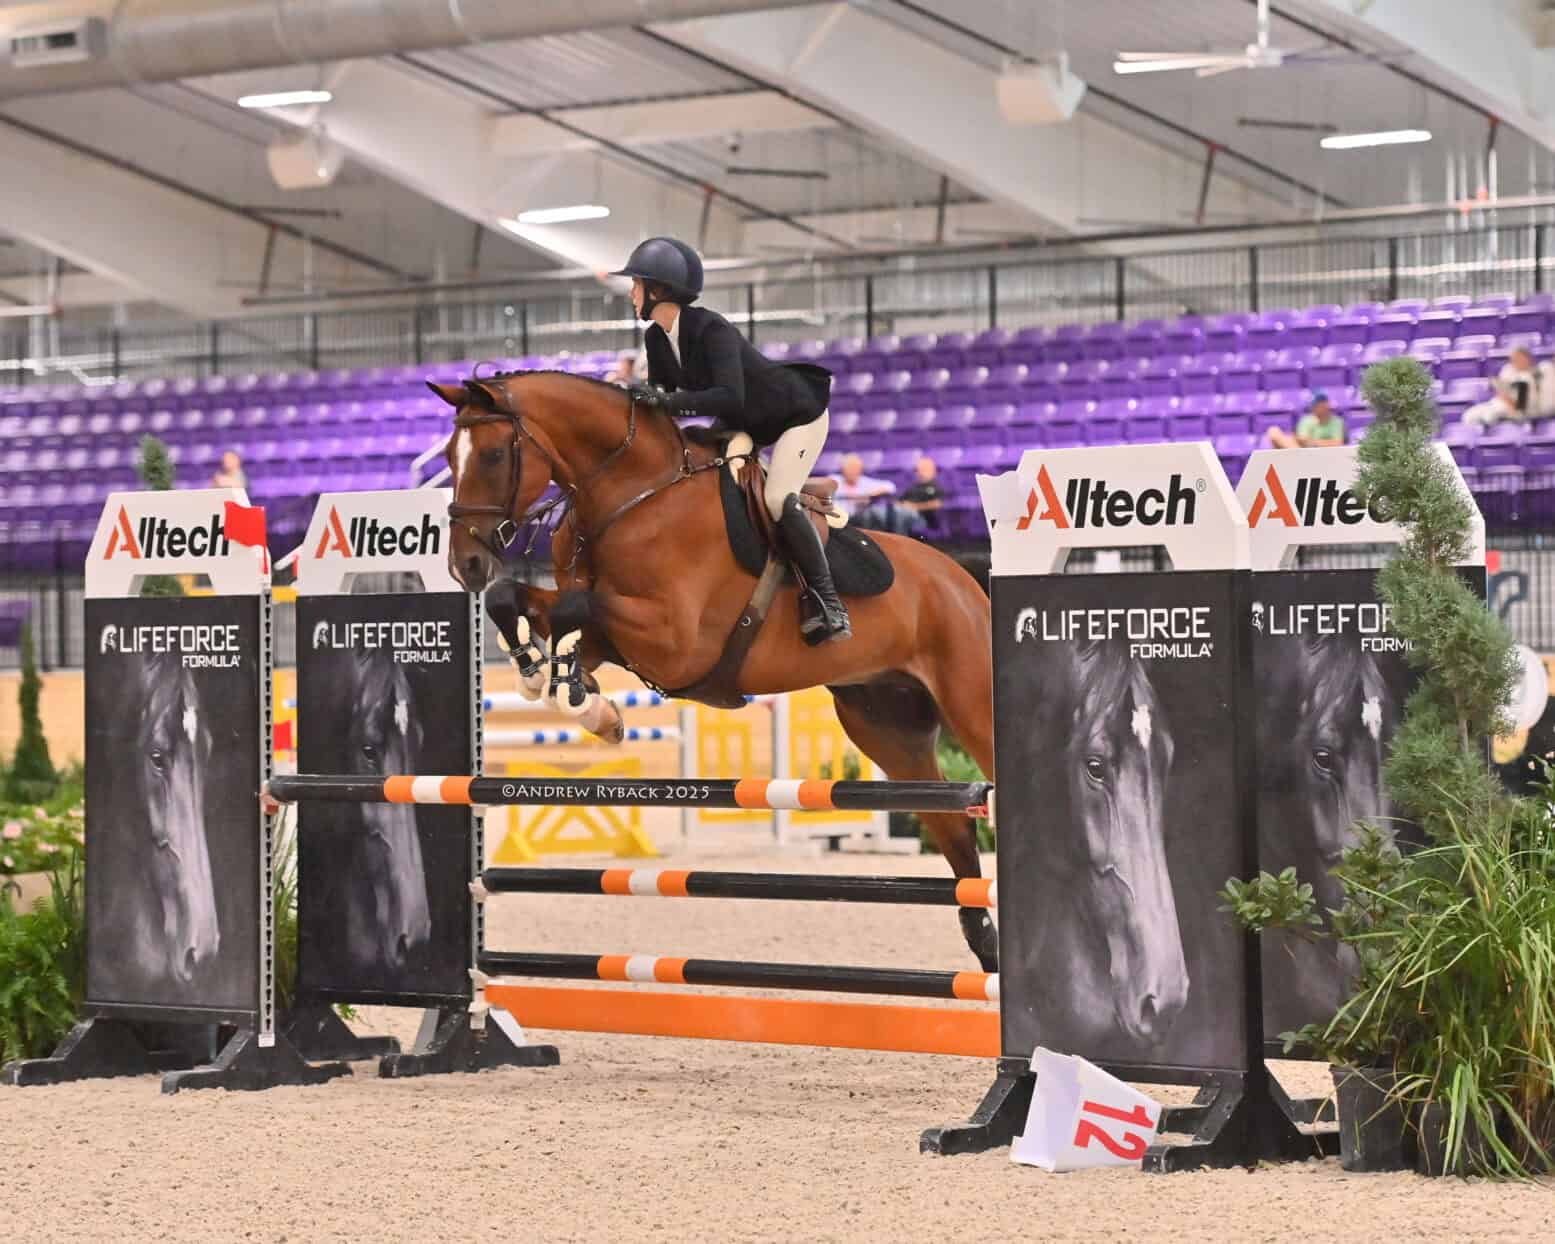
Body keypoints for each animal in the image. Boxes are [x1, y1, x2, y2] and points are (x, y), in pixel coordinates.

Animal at [427, 371, 998, 969]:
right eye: (448, 456)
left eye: (493, 454)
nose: (465, 565)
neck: (629, 497)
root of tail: (959, 578)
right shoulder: (614, 635)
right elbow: (518, 601)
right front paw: (572, 692)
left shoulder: (674, 639)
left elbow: (572, 609)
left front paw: (573, 692)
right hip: (888, 729)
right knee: (956, 832)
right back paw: (987, 949)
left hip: (973, 707)